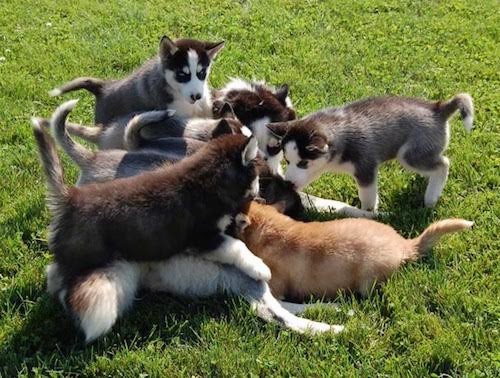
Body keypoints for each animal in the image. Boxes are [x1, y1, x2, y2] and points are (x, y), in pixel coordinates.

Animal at [268, 91, 474, 210]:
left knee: (443, 164)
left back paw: (431, 197)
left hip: (409, 155)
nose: (287, 184)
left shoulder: (365, 168)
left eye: (303, 162)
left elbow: (367, 198)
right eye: (287, 161)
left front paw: (368, 214)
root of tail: (438, 109)